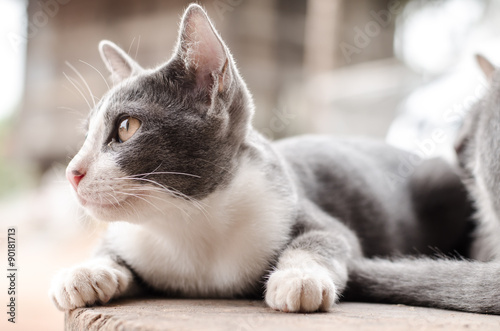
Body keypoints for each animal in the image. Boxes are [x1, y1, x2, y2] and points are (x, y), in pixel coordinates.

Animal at [49, 3, 496, 316]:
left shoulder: (301, 206)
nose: (72, 173)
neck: (187, 225)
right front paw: (84, 272)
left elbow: (327, 238)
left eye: (126, 127)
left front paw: (298, 276)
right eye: (86, 134)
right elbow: (109, 248)